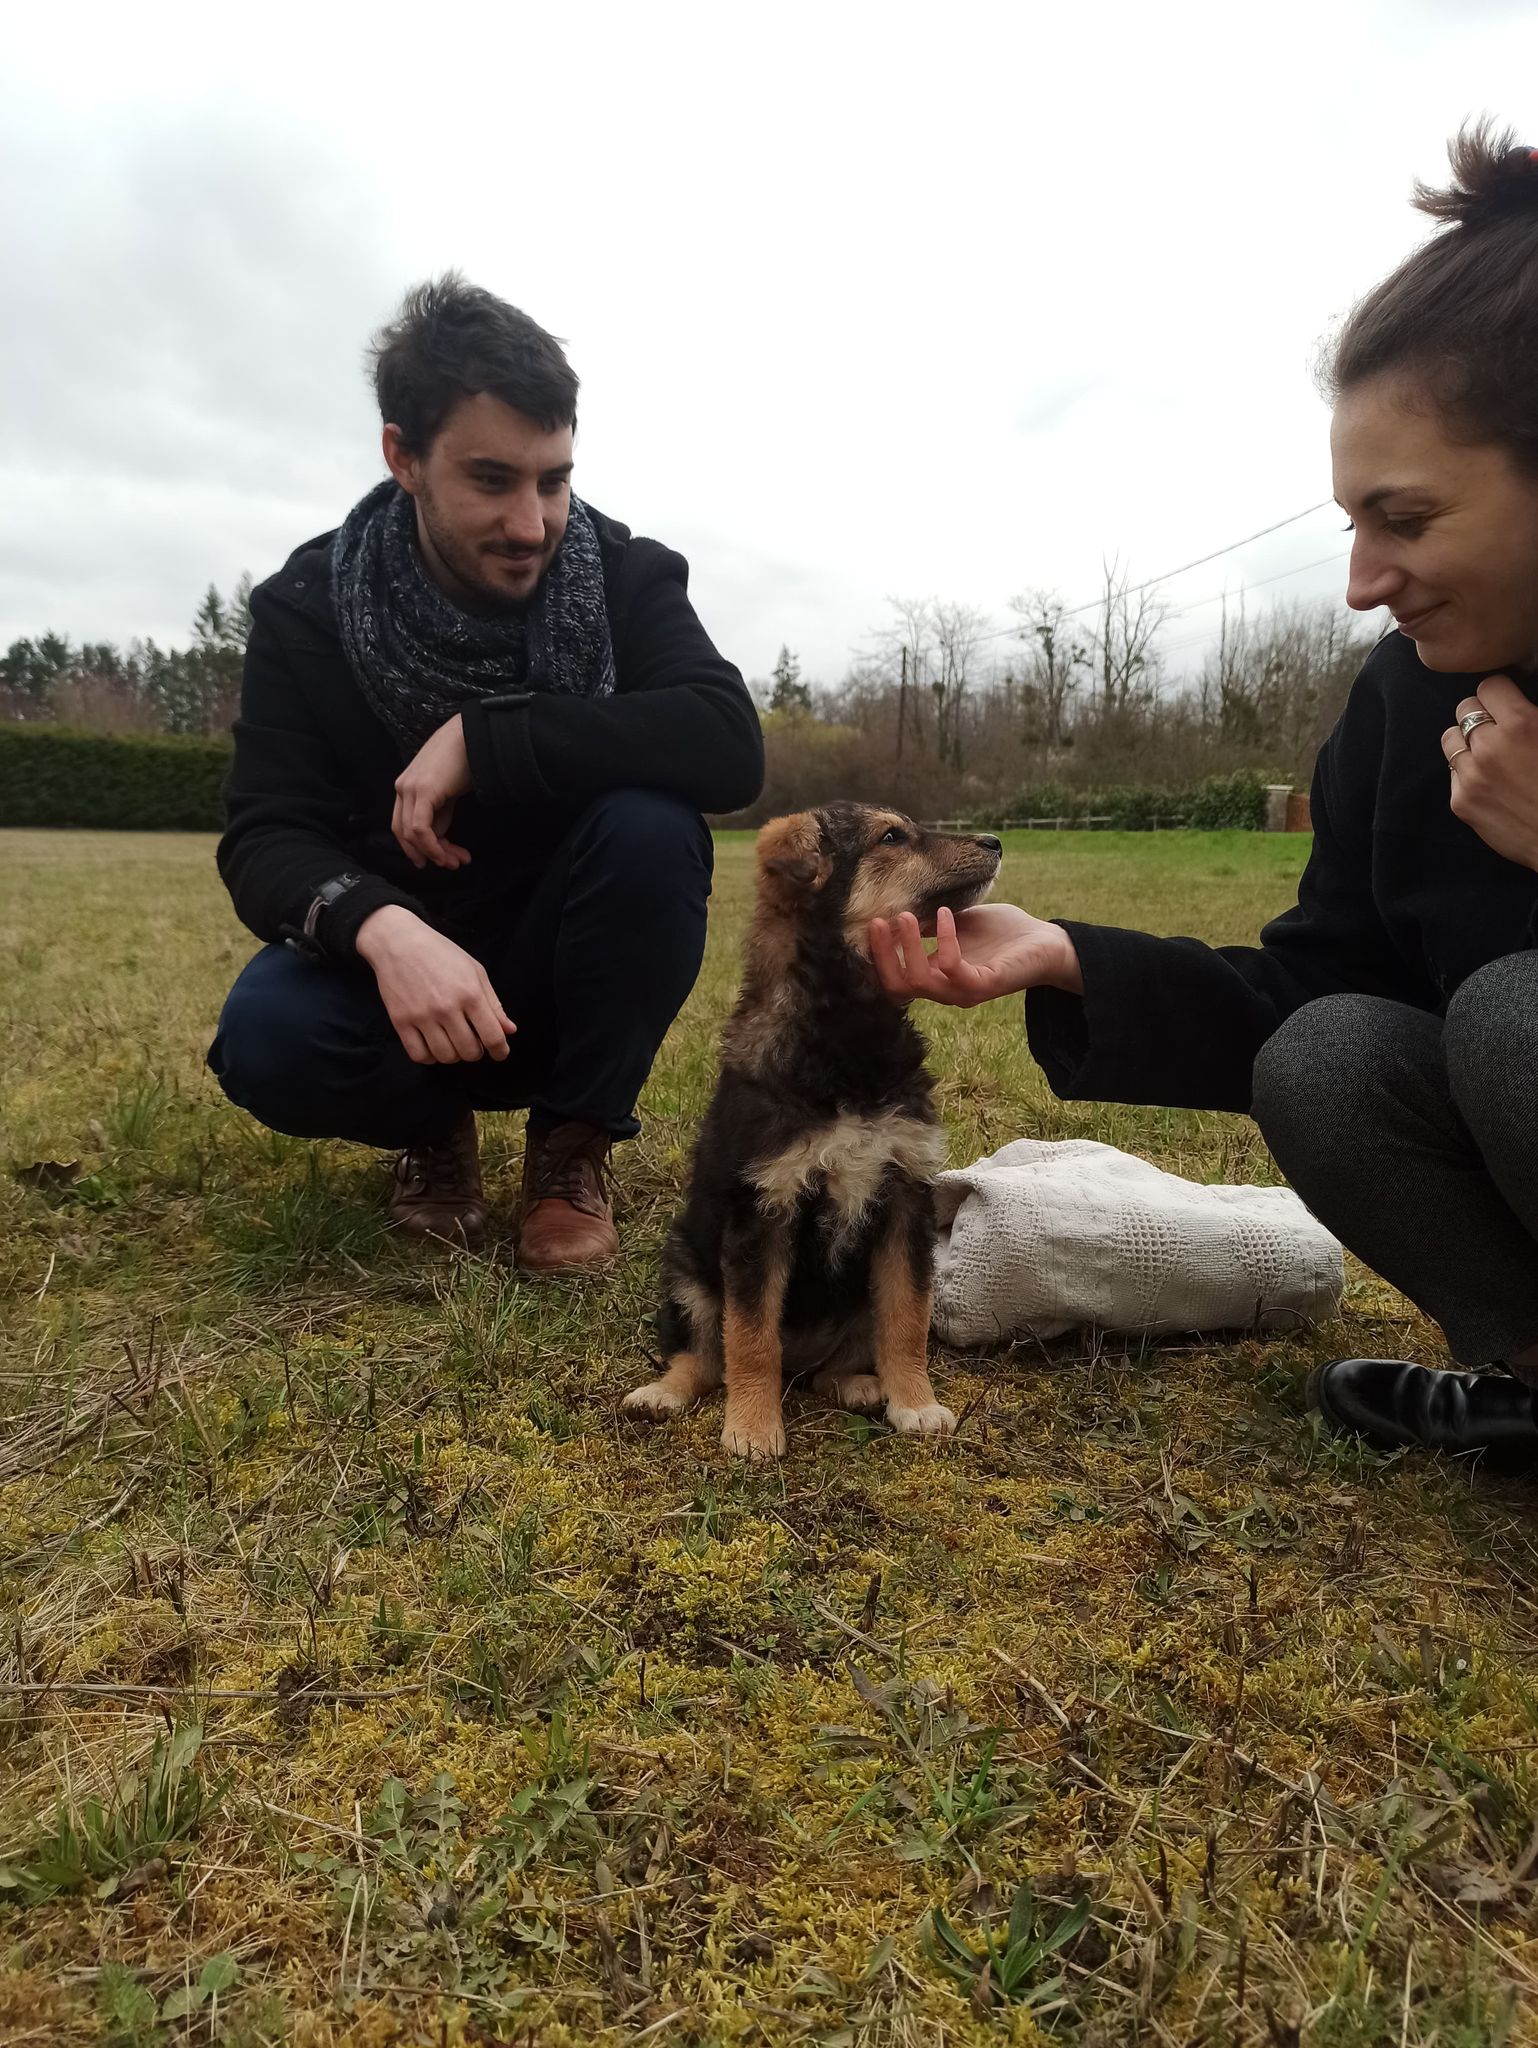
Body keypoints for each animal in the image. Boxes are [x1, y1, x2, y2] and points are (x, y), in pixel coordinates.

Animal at [622, 798, 999, 1458]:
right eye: (891, 837)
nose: (997, 842)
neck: (847, 1035)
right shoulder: (763, 1208)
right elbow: (751, 1337)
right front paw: (751, 1429)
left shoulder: (905, 1199)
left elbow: (907, 1320)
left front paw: (915, 1403)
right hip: (688, 1270)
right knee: (705, 1355)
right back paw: (663, 1394)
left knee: (831, 1364)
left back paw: (859, 1384)